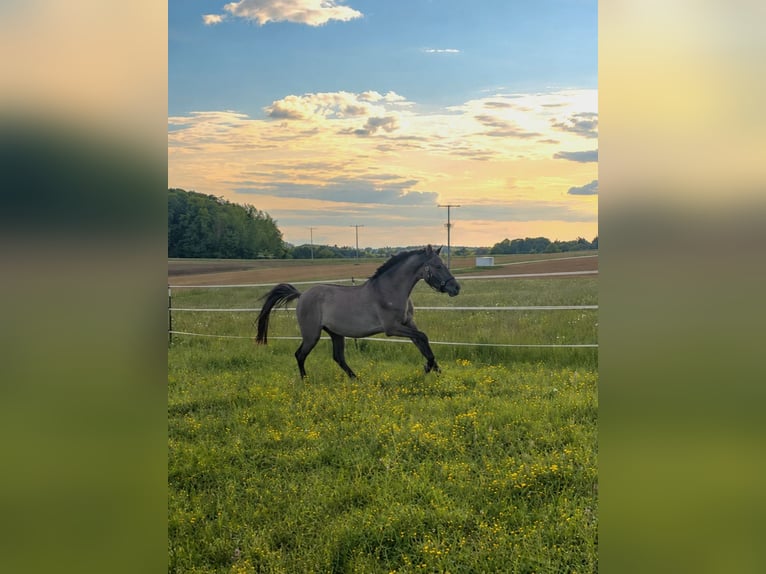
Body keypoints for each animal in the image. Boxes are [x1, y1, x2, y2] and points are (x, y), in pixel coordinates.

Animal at [255, 245, 460, 378]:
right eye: (438, 266)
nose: (456, 288)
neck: (389, 290)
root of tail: (302, 294)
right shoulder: (392, 328)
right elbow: (423, 338)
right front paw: (429, 368)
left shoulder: (408, 323)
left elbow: (421, 342)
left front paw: (435, 369)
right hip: (311, 334)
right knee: (300, 355)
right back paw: (305, 380)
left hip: (336, 334)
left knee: (338, 357)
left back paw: (356, 379)